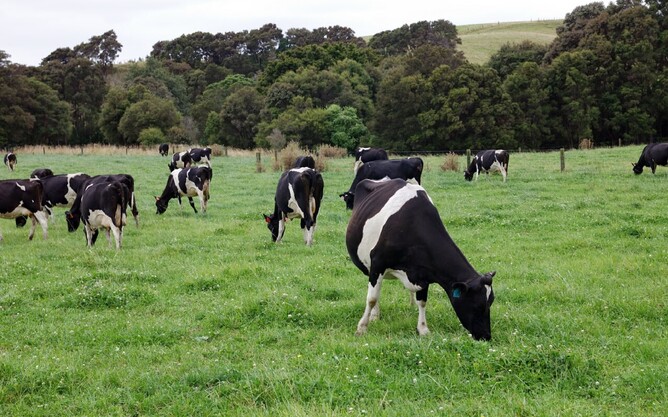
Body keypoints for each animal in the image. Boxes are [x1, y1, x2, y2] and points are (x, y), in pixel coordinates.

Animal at [346, 178, 495, 340]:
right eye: (478, 305)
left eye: (491, 302)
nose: (486, 336)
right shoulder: (378, 263)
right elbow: (372, 298)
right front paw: (362, 328)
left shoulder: (425, 273)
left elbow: (422, 301)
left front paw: (423, 329)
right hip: (368, 266)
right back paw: (374, 315)